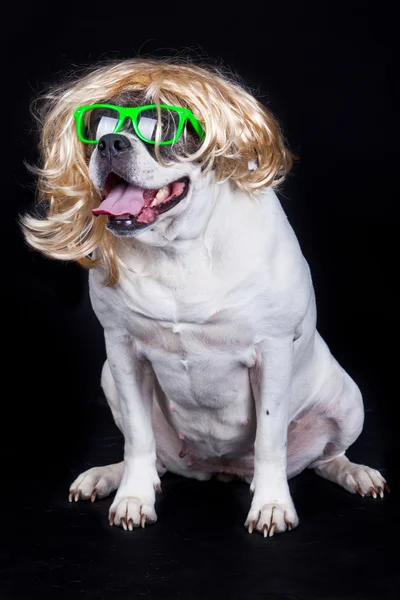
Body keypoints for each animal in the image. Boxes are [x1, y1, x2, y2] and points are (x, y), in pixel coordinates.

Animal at [21, 58, 388, 536]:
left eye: (161, 127)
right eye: (99, 125)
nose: (110, 142)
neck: (177, 250)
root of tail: (221, 469)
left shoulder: (272, 352)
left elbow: (270, 437)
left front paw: (272, 505)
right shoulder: (121, 350)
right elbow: (138, 436)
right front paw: (133, 497)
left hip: (349, 402)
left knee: (325, 456)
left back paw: (354, 473)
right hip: (109, 380)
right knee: (154, 458)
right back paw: (106, 476)